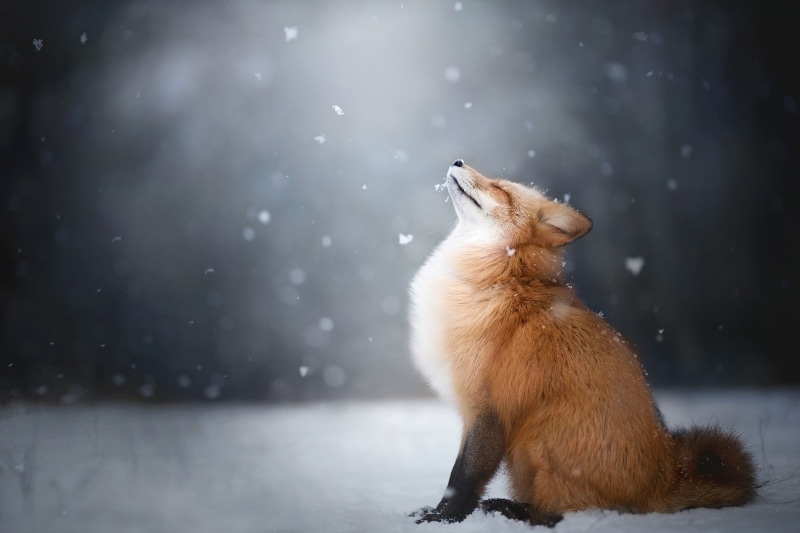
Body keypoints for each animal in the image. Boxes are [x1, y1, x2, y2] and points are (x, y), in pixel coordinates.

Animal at [408, 160, 756, 526]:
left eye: (500, 188)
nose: (458, 161)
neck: (501, 276)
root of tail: (663, 478)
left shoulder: (488, 408)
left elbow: (463, 478)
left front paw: (442, 519)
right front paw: (434, 513)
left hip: (537, 438)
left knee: (559, 514)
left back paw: (512, 510)